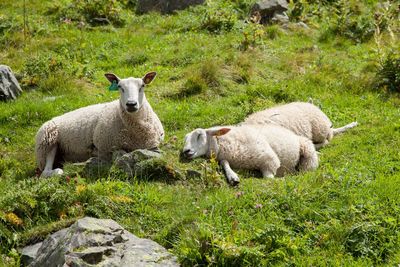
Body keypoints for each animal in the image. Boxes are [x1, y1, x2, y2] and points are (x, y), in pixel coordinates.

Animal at [34, 72, 164, 179]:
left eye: (142, 86)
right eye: (119, 87)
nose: (131, 104)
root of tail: (53, 119)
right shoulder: (105, 148)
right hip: (48, 141)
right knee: (45, 172)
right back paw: (58, 171)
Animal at [182, 124, 318, 185]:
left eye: (200, 135)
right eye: (185, 139)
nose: (185, 151)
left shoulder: (270, 159)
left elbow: (268, 178)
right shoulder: (225, 158)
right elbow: (224, 163)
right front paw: (233, 177)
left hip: (308, 153)